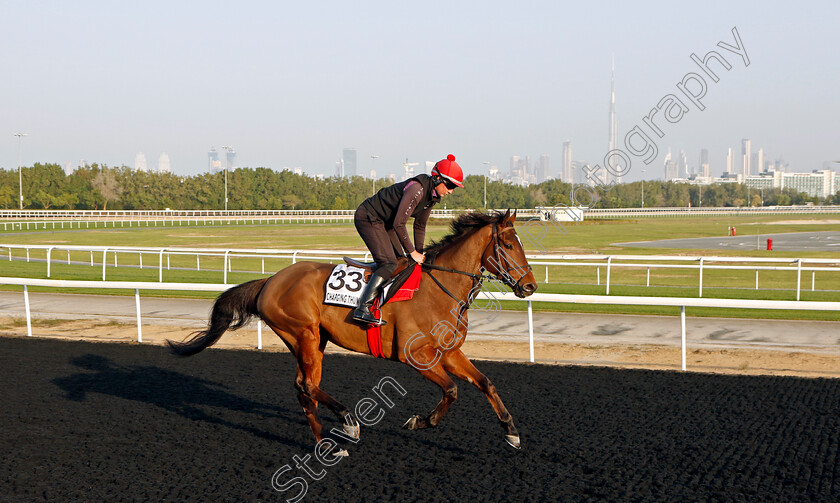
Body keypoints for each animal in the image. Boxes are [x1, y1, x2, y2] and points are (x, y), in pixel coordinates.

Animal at [169, 210, 540, 452]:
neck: (440, 289)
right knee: (306, 385)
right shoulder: (416, 356)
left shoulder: (448, 352)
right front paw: (420, 421)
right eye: (508, 245)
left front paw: (512, 432)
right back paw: (348, 421)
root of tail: (270, 280)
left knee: (304, 387)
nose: (530, 286)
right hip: (303, 334)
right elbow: (451, 390)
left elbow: (485, 383)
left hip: (313, 341)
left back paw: (326, 444)